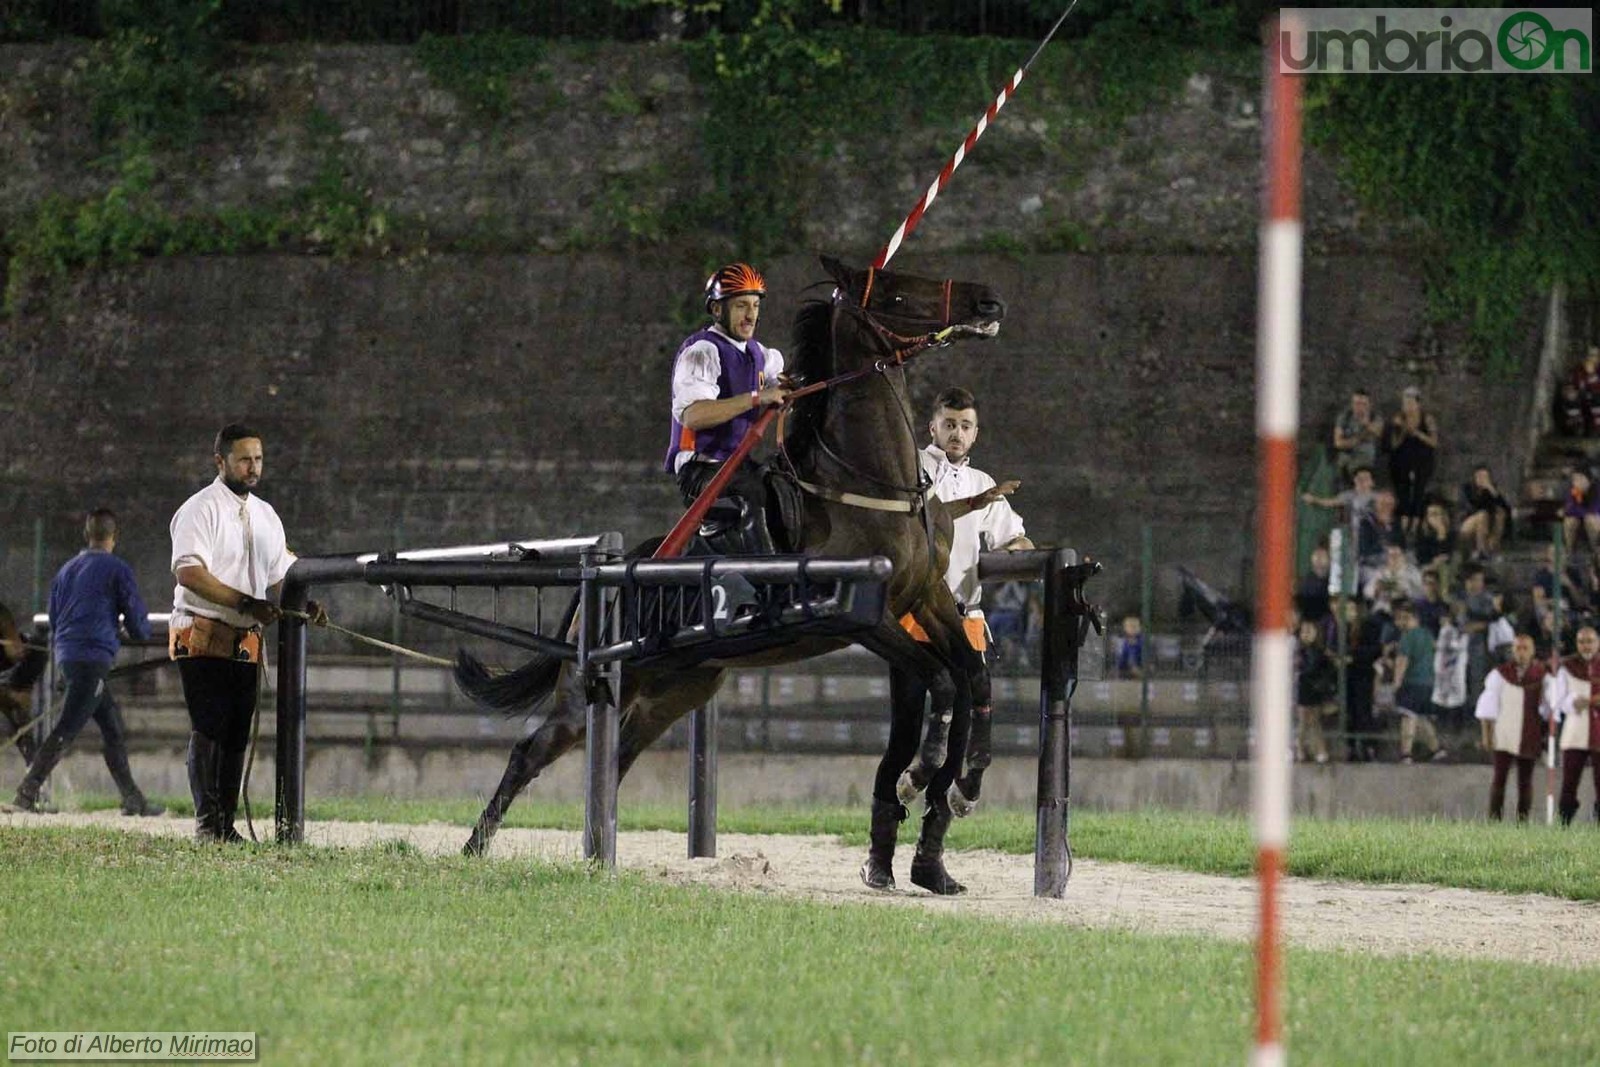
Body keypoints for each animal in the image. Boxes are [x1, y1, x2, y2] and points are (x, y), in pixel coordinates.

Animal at [454, 255, 998, 895]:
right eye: (892, 291)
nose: (986, 302)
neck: (867, 486)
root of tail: (603, 576)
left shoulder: (927, 599)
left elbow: (973, 678)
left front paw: (964, 786)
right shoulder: (863, 620)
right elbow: (941, 681)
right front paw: (917, 773)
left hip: (676, 689)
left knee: (615, 759)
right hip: (590, 690)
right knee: (530, 751)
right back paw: (473, 849)